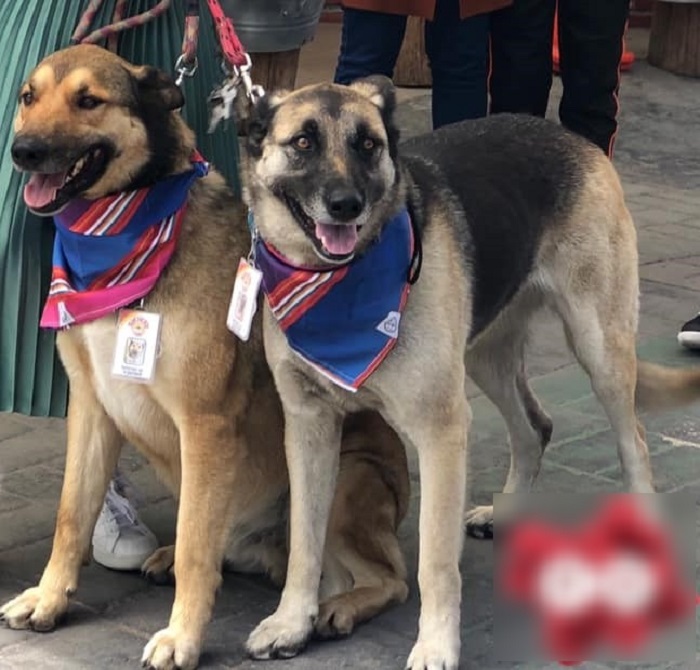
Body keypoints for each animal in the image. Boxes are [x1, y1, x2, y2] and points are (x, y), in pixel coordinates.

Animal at [0, 44, 410, 668]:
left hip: (343, 476)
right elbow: (72, 516)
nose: (23, 151)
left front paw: (182, 638)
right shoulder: (91, 409)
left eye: (88, 100)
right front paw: (50, 598)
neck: (122, 236)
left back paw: (335, 610)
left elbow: (198, 547)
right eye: (28, 96)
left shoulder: (205, 423)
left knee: (390, 579)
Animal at [242, 76, 700, 668]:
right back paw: (506, 510)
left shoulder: (441, 432)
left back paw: (643, 527)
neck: (338, 290)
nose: (346, 205)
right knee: (534, 427)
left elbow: (435, 562)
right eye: (303, 142)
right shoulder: (308, 430)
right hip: (484, 356)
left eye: (367, 144)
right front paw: (291, 621)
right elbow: (304, 542)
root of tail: (571, 136)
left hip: (598, 347)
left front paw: (436, 644)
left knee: (634, 438)